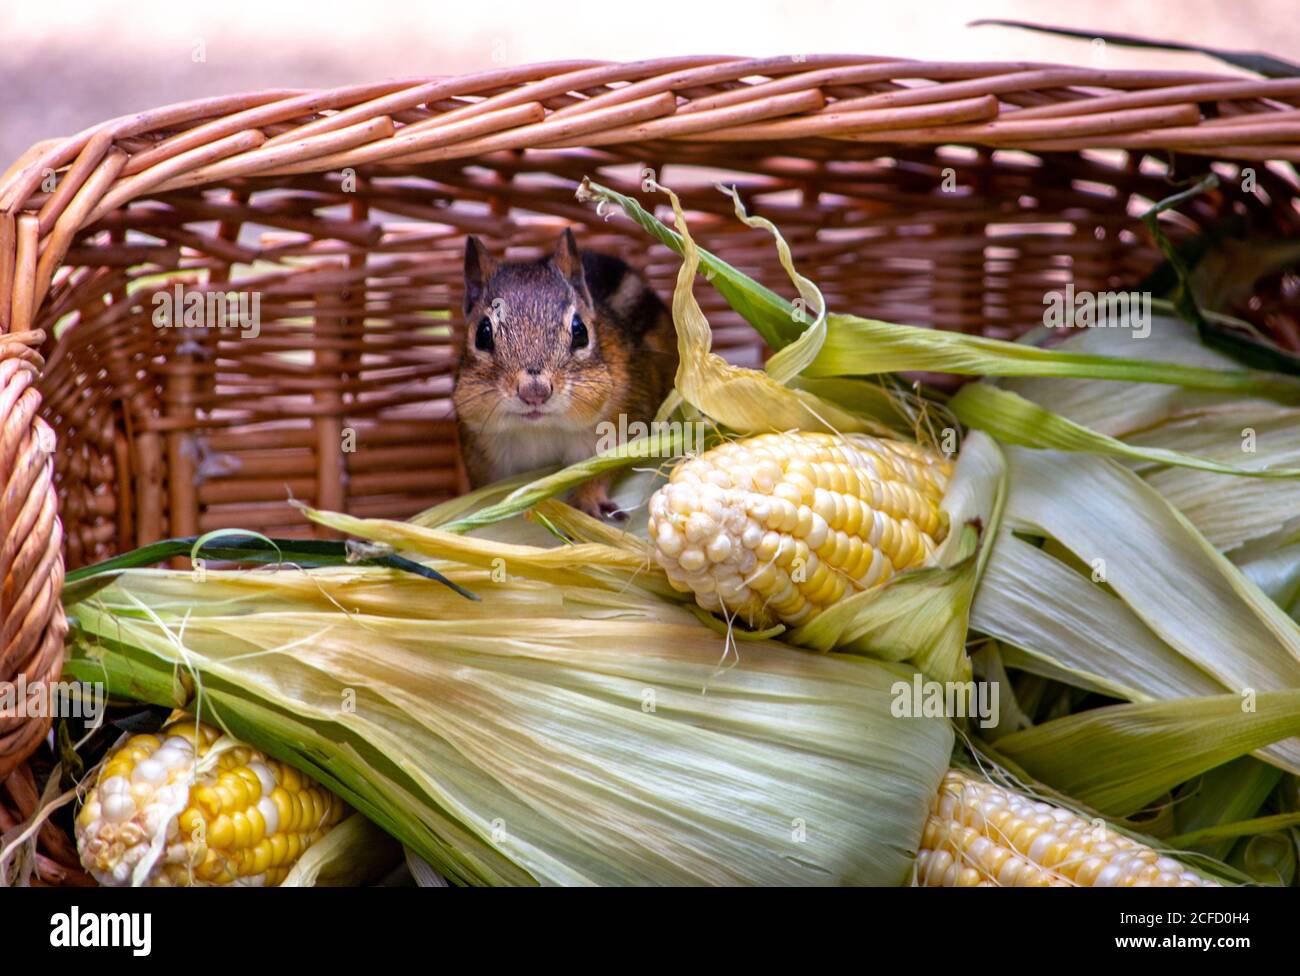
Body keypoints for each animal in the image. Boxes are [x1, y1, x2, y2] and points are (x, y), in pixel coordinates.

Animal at [452, 229, 679, 519]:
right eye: (482, 333)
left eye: (580, 330)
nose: (534, 392)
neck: (541, 430)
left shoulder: (620, 429)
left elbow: (601, 470)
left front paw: (587, 501)